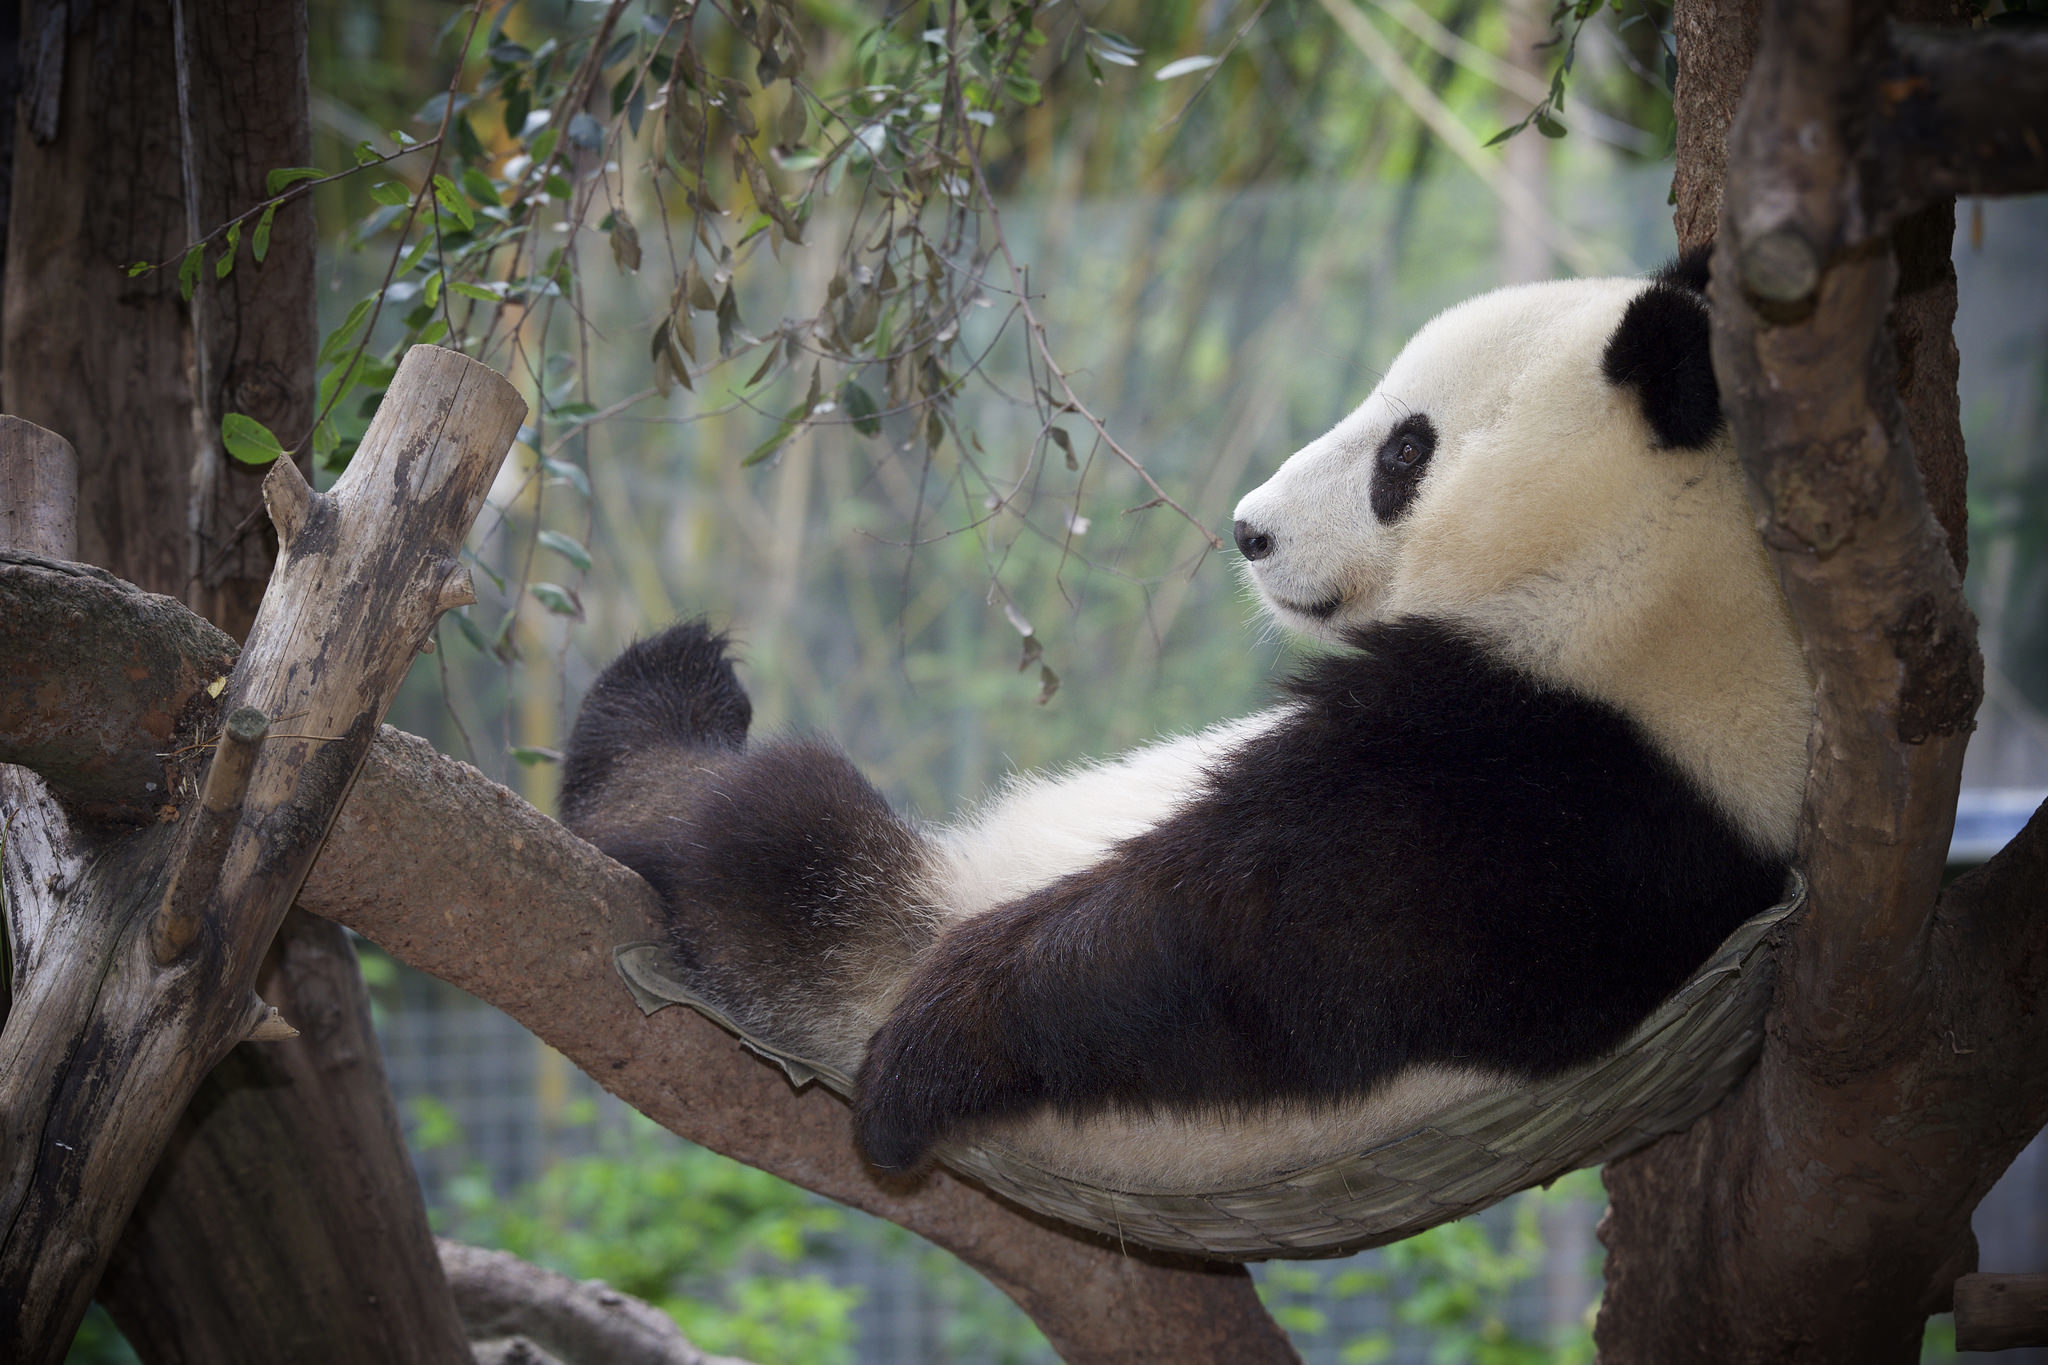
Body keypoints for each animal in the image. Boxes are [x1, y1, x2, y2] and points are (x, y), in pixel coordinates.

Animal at [561, 255, 1810, 1195]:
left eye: (1404, 451)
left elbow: (1240, 947)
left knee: (771, 834)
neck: (1650, 580)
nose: (1249, 531)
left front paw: (933, 1052)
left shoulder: (1549, 792)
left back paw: (663, 722)